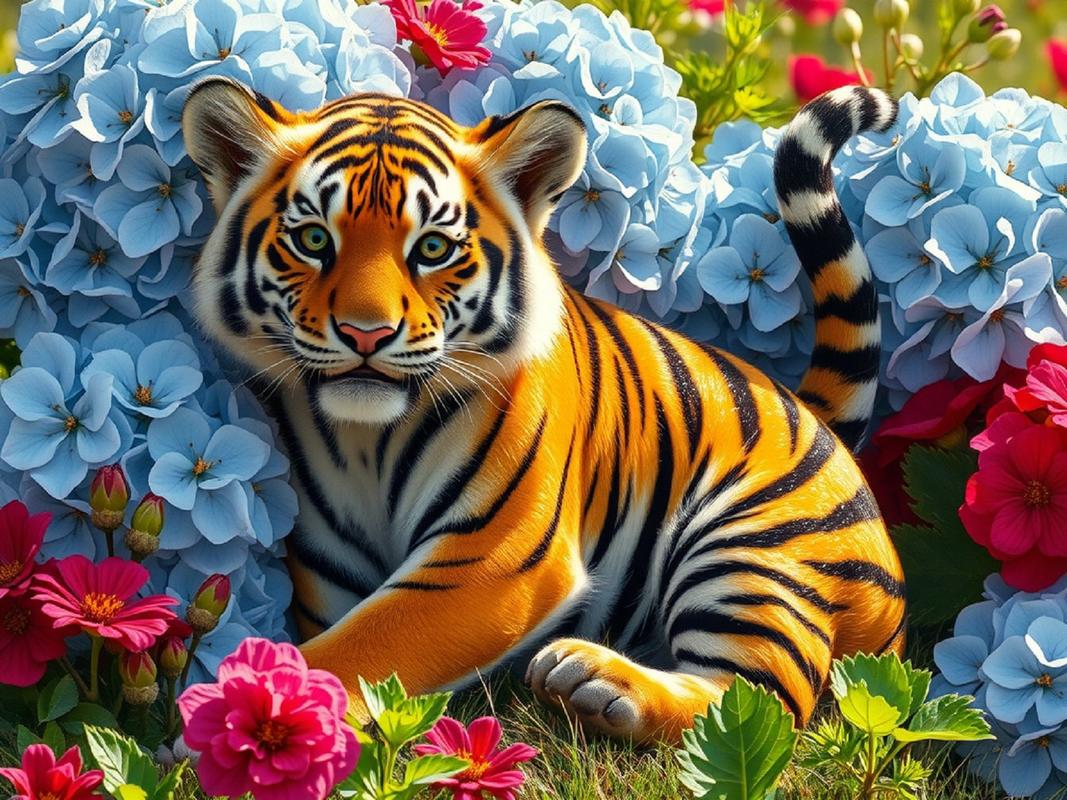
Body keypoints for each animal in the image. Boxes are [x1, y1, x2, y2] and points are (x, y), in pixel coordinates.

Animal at [181, 77, 905, 744]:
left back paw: (596, 681)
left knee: (757, 706)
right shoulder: (328, 574)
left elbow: (363, 645)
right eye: (311, 239)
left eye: (432, 249)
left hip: (750, 554)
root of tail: (813, 416)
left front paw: (237, 715)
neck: (366, 440)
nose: (366, 334)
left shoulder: (492, 560)